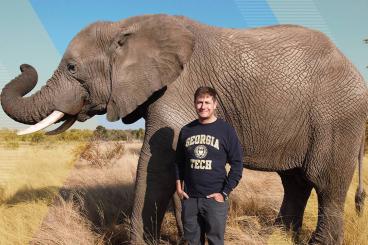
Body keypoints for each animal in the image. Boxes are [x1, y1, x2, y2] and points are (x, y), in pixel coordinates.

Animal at [1, 14, 366, 244]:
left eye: (72, 68)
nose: (23, 63)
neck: (127, 26)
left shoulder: (177, 88)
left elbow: (156, 164)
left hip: (338, 117)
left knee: (324, 182)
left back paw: (317, 243)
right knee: (295, 182)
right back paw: (276, 237)